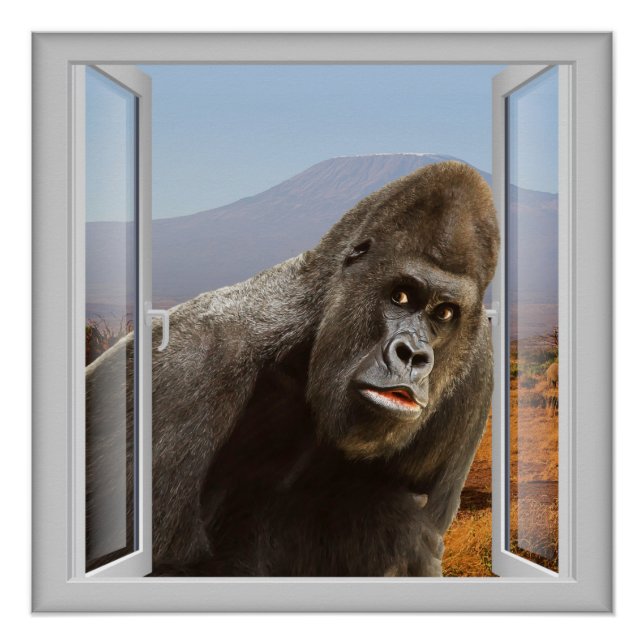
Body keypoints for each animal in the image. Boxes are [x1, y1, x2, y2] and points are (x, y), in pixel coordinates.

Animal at [86, 160, 499, 576]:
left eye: (444, 313)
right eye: (400, 296)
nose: (412, 355)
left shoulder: (479, 364)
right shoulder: (183, 371)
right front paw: (383, 525)